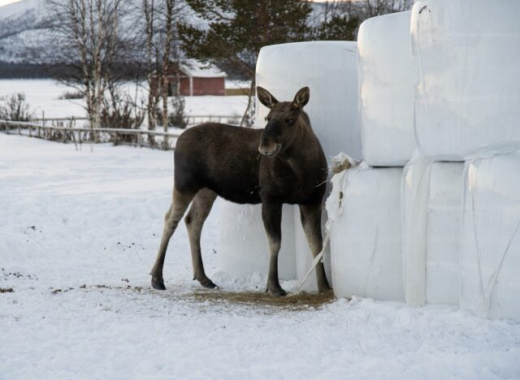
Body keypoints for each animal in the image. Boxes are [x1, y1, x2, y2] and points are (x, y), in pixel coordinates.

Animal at [150, 87, 332, 296]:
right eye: (268, 118)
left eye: (290, 119)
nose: (265, 146)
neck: (301, 169)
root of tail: (178, 139)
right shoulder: (270, 196)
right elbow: (275, 242)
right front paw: (274, 286)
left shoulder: (312, 200)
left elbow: (317, 244)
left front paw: (324, 286)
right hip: (185, 183)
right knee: (171, 219)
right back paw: (157, 278)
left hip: (207, 189)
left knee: (193, 221)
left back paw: (204, 278)